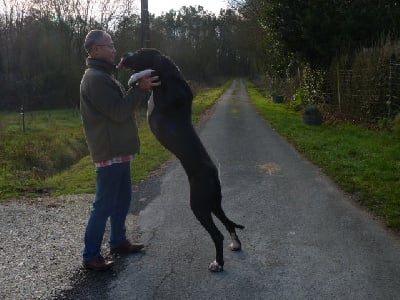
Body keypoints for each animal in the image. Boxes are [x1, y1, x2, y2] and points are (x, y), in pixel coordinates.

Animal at [117, 49, 245, 272]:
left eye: (140, 53)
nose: (123, 56)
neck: (172, 76)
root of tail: (214, 175)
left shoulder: (163, 96)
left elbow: (152, 71)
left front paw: (136, 76)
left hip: (199, 205)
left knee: (217, 235)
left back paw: (218, 264)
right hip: (213, 204)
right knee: (228, 223)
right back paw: (235, 245)